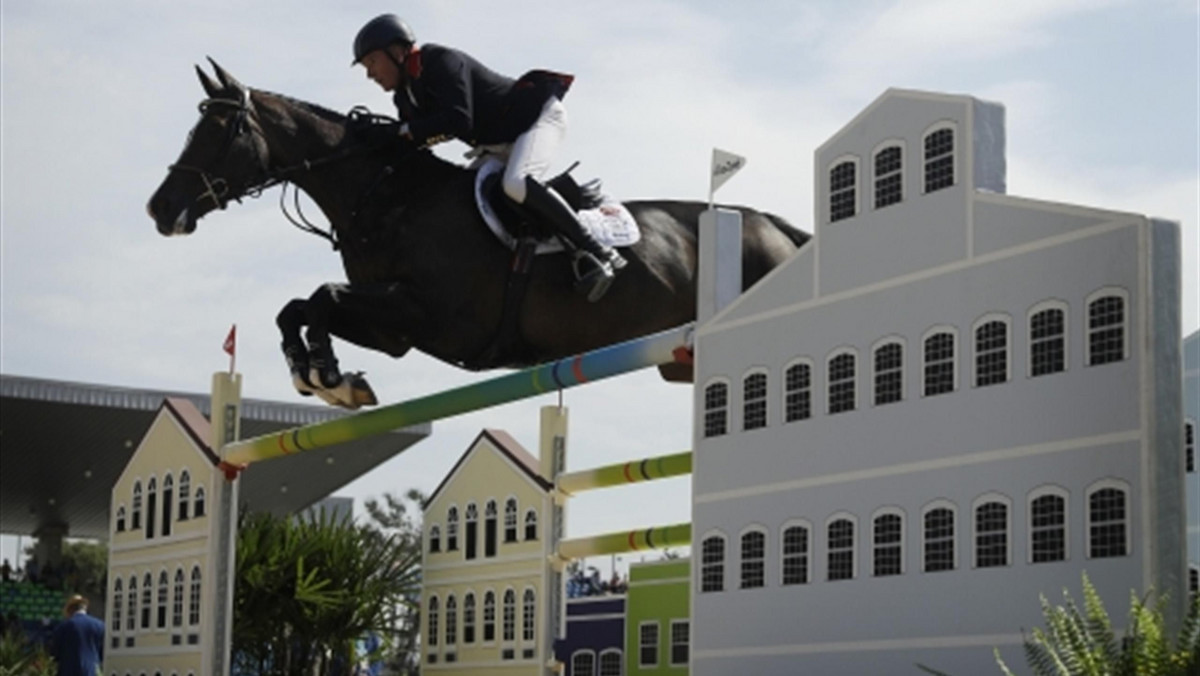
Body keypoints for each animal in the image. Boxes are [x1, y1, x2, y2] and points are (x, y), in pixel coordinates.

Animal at [147, 62, 806, 408]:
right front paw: (321, 374)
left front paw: (327, 374)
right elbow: (299, 306)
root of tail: (773, 226)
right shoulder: (395, 331)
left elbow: (322, 297)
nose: (160, 208)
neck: (389, 196)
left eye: (220, 132)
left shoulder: (436, 318)